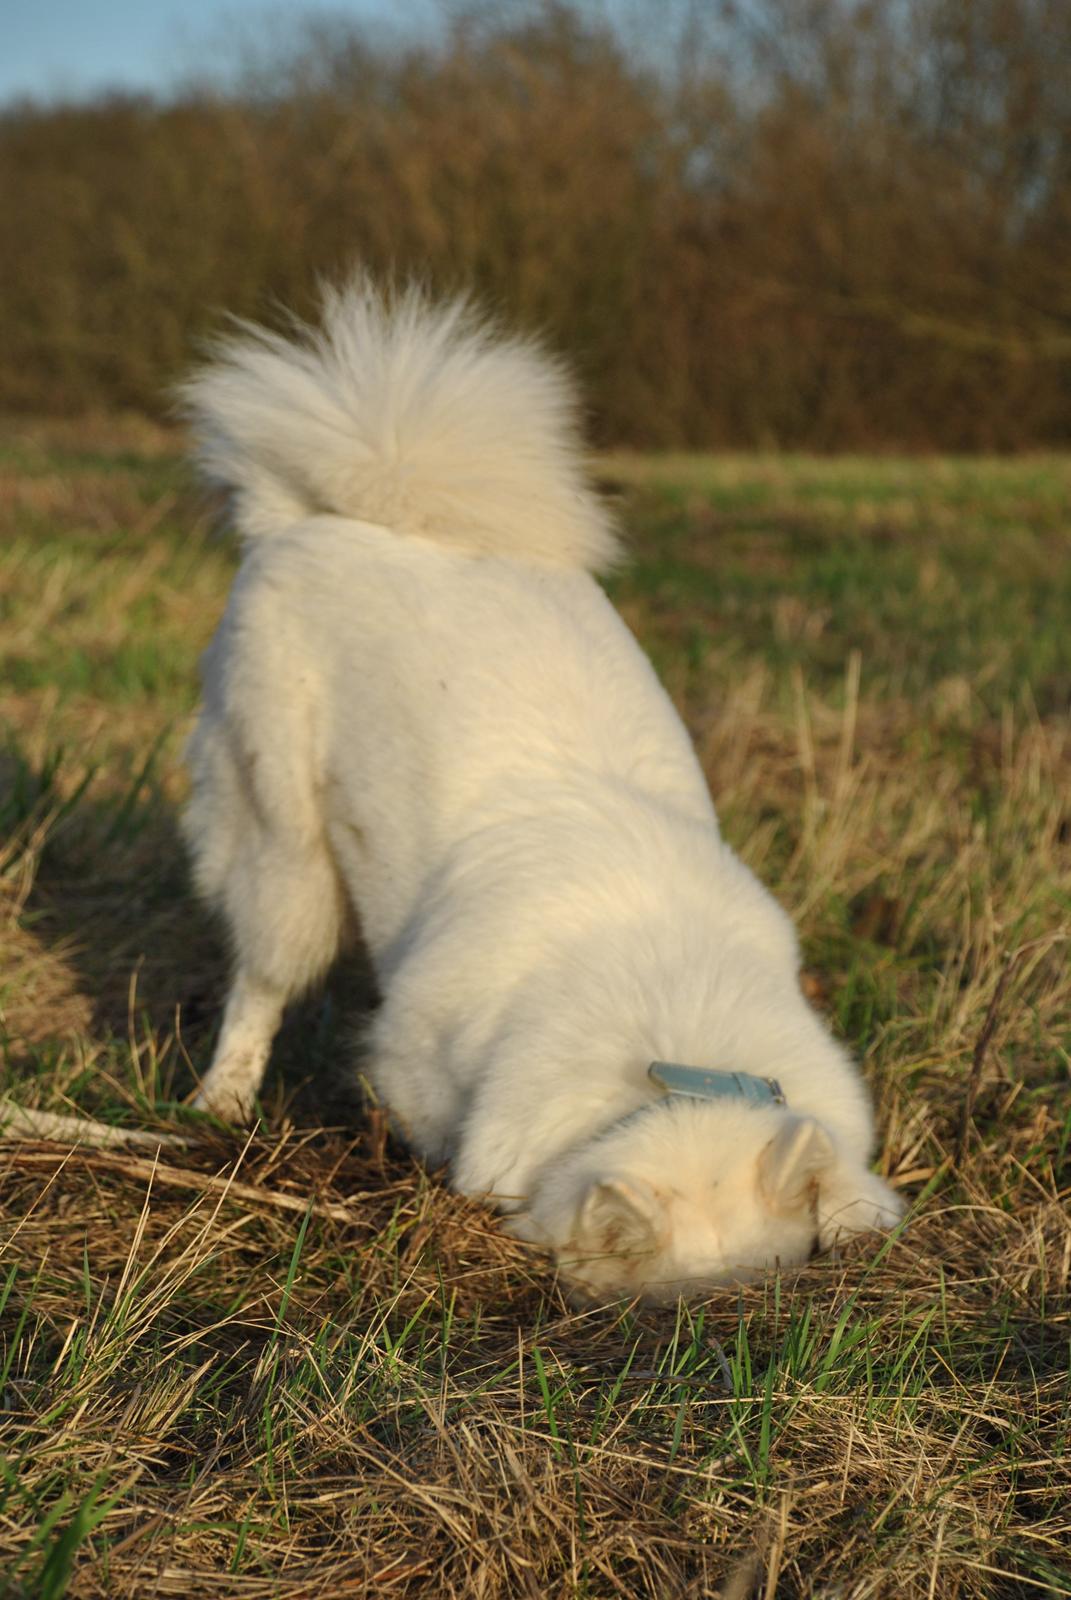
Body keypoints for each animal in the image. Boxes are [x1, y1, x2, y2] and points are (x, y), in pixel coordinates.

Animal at [179, 275, 896, 1299]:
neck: (674, 1062)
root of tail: (330, 514)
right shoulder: (417, 1070)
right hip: (287, 855)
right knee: (260, 979)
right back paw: (221, 1103)